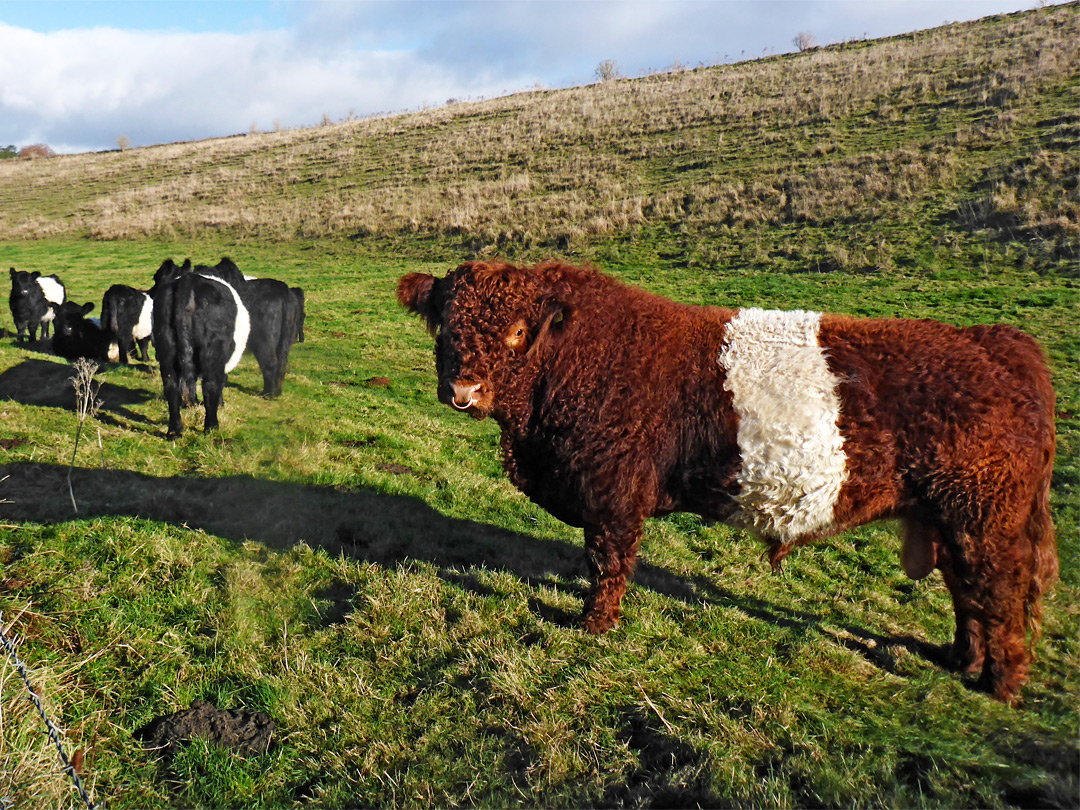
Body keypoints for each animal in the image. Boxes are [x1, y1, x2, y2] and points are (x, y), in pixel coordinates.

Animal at [401, 260, 1058, 704]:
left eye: (517, 331)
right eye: (444, 325)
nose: (462, 391)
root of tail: (998, 342)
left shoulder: (613, 492)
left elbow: (607, 563)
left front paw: (593, 625)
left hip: (984, 517)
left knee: (998, 596)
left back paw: (998, 686)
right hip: (950, 519)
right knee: (967, 596)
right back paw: (958, 661)